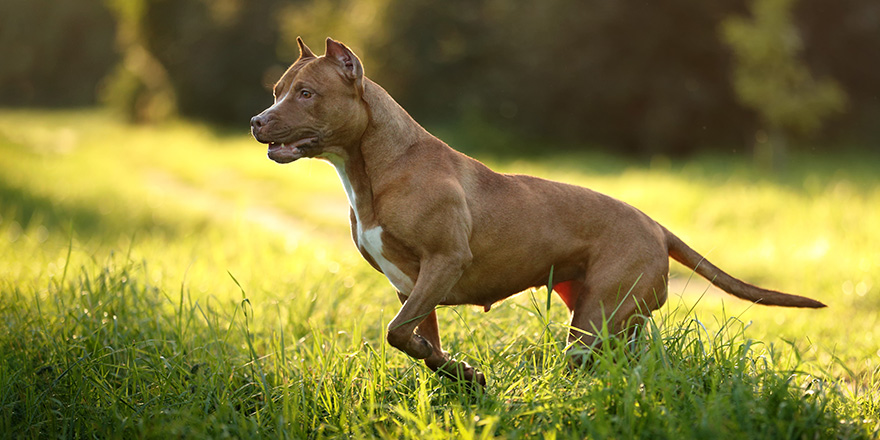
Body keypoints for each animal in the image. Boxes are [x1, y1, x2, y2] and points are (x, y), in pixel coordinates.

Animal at [249, 39, 824, 386]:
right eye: (276, 90)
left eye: (307, 92)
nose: (257, 120)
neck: (377, 166)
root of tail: (656, 225)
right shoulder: (410, 286)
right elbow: (415, 340)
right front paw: (461, 373)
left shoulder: (443, 262)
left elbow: (396, 333)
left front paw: (460, 371)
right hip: (602, 310)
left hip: (597, 318)